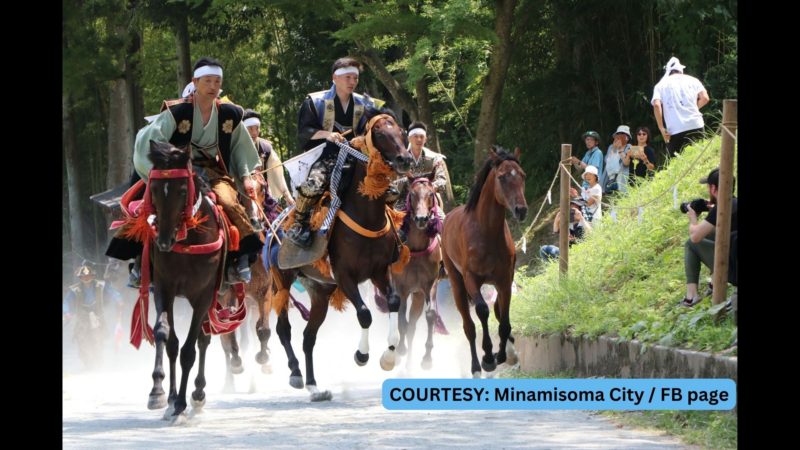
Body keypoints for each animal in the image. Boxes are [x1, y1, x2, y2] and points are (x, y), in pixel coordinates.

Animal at [392, 176, 444, 370]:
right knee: (407, 323)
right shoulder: (401, 287)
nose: (421, 219)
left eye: (431, 194)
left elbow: (430, 315)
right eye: (412, 194)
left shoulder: (430, 285)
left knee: (413, 325)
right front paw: (400, 349)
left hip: (419, 295)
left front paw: (427, 358)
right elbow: (401, 318)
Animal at [440, 146, 528, 378]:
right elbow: (482, 310)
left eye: (522, 175)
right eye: (502, 177)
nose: (521, 210)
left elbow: (502, 316)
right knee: (469, 327)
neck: (486, 232)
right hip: (456, 284)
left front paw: (506, 353)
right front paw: (488, 357)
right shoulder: (471, 279)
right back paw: (476, 368)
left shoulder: (505, 280)